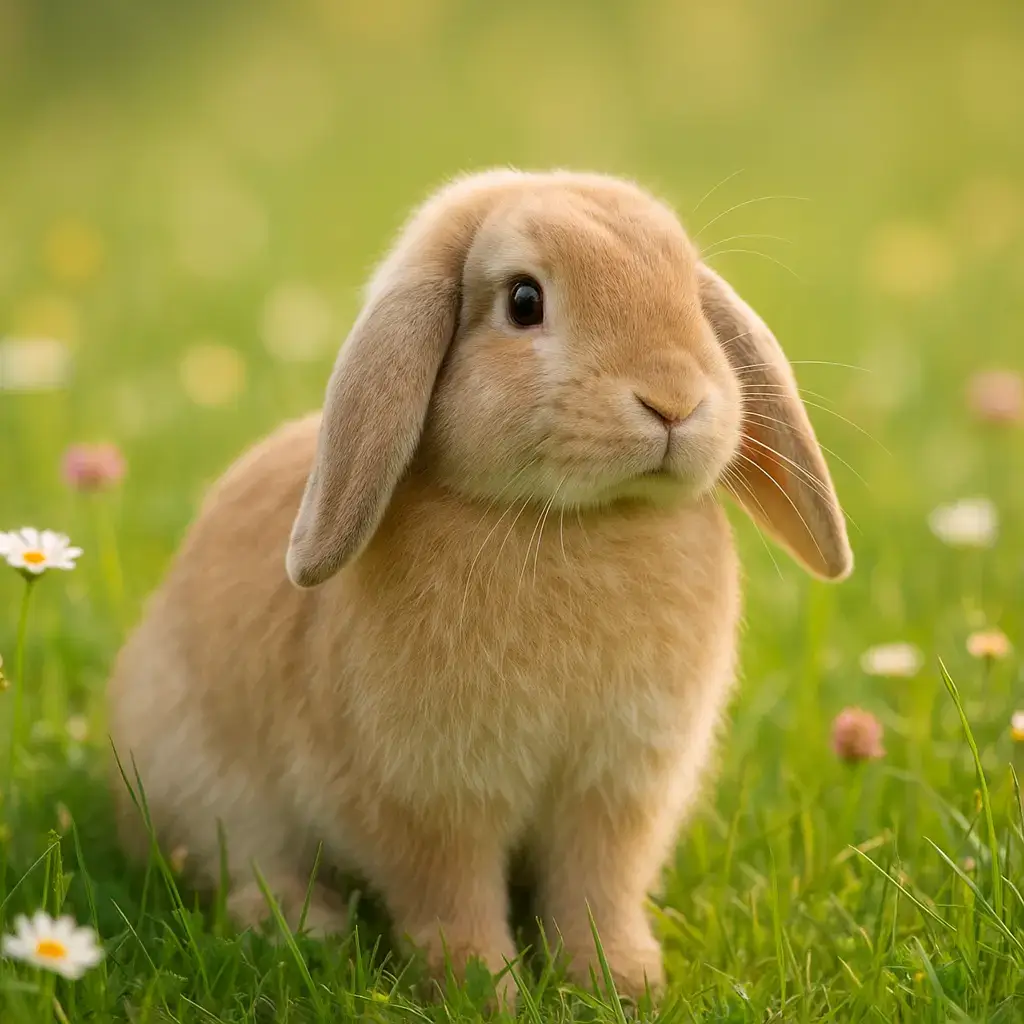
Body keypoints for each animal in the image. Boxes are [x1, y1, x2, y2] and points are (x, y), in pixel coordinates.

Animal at [107, 169, 852, 1002]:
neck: (573, 521)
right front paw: (482, 988)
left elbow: (597, 890)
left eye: (690, 293)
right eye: (524, 301)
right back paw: (305, 925)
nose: (674, 400)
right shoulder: (430, 798)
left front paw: (621, 983)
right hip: (205, 788)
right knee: (242, 867)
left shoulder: (615, 792)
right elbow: (450, 894)